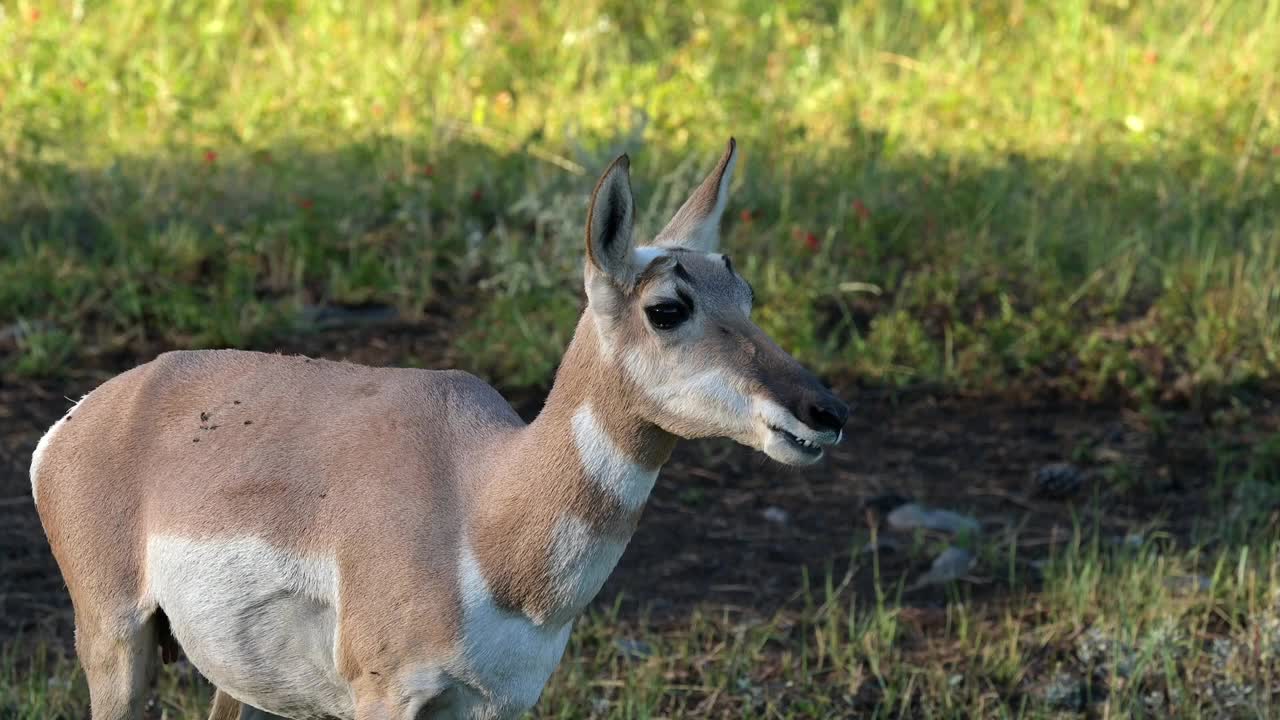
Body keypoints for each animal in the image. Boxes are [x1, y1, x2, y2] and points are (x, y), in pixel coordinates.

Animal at [30, 140, 849, 717]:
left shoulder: (490, 708)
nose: (827, 412)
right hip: (114, 645)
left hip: (240, 684)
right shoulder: (386, 697)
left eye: (745, 292)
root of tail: (87, 415)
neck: (482, 502)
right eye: (668, 307)